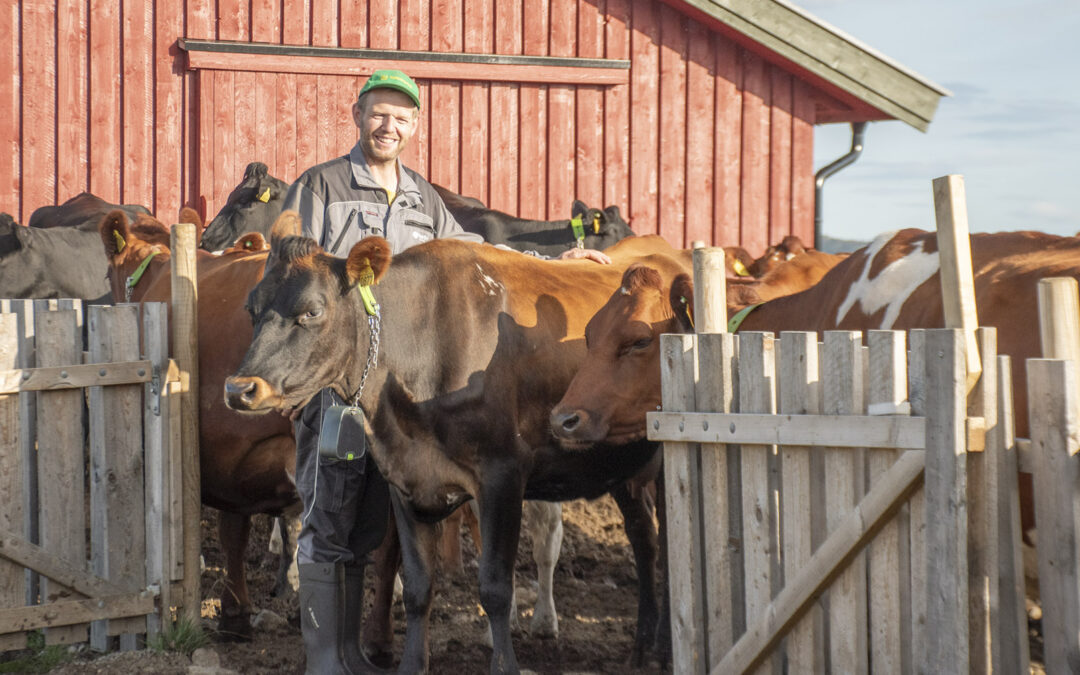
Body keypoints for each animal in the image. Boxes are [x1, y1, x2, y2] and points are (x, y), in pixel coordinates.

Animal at [225, 230, 691, 669]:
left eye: (312, 311)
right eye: (250, 309)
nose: (239, 389)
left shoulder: (502, 476)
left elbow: (496, 588)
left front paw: (505, 665)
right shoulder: (404, 477)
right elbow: (417, 586)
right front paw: (412, 664)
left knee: (671, 549)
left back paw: (664, 648)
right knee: (645, 541)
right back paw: (642, 647)